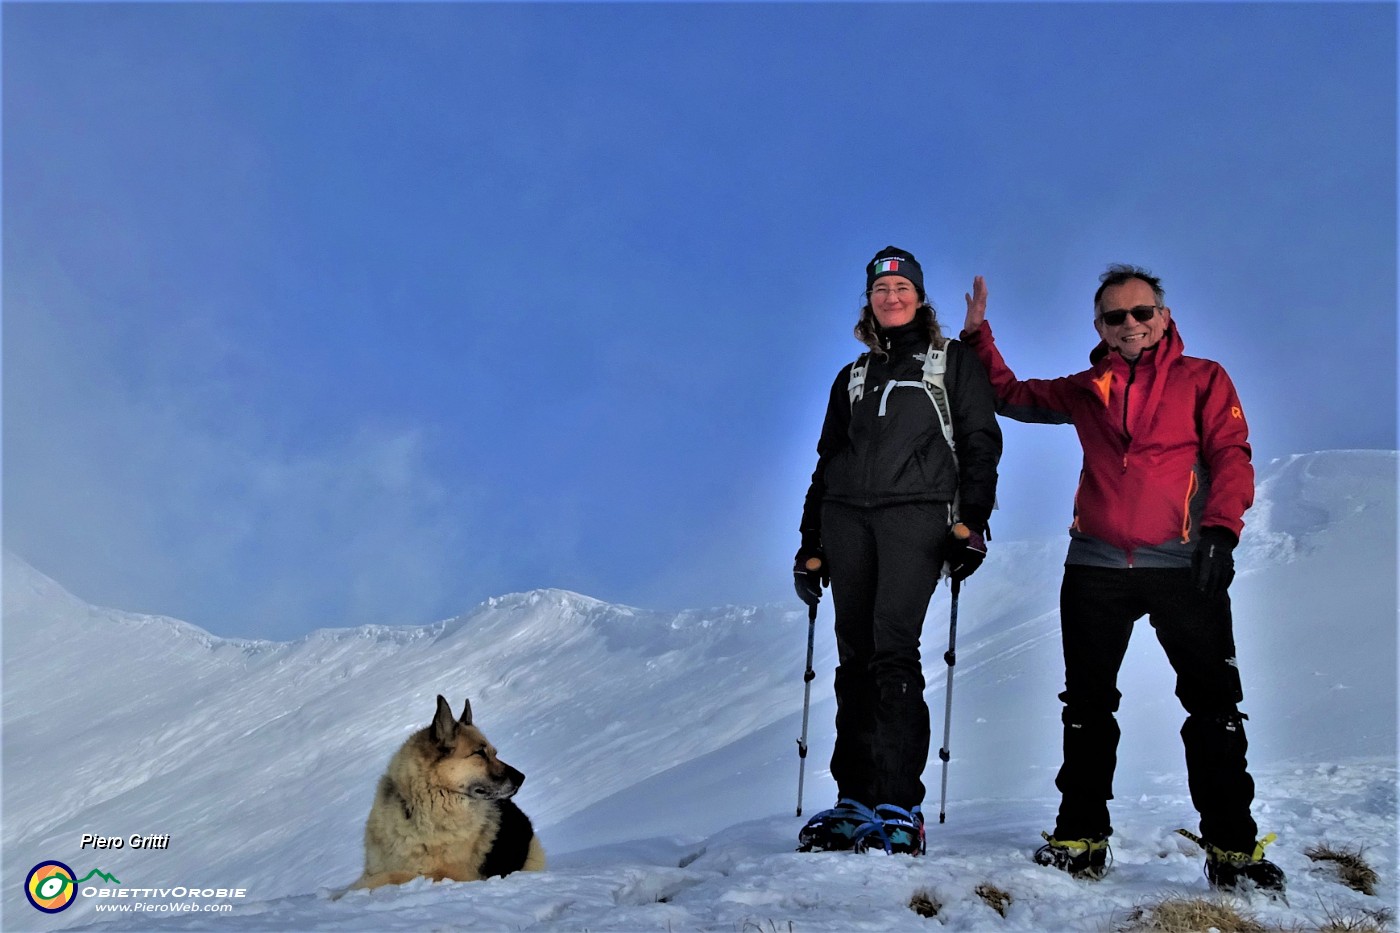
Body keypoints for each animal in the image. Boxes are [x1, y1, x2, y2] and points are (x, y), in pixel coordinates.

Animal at [350, 689, 546, 885]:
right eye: (480, 753)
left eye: (494, 753)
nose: (522, 778)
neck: (418, 810)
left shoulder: (452, 875)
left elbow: (392, 876)